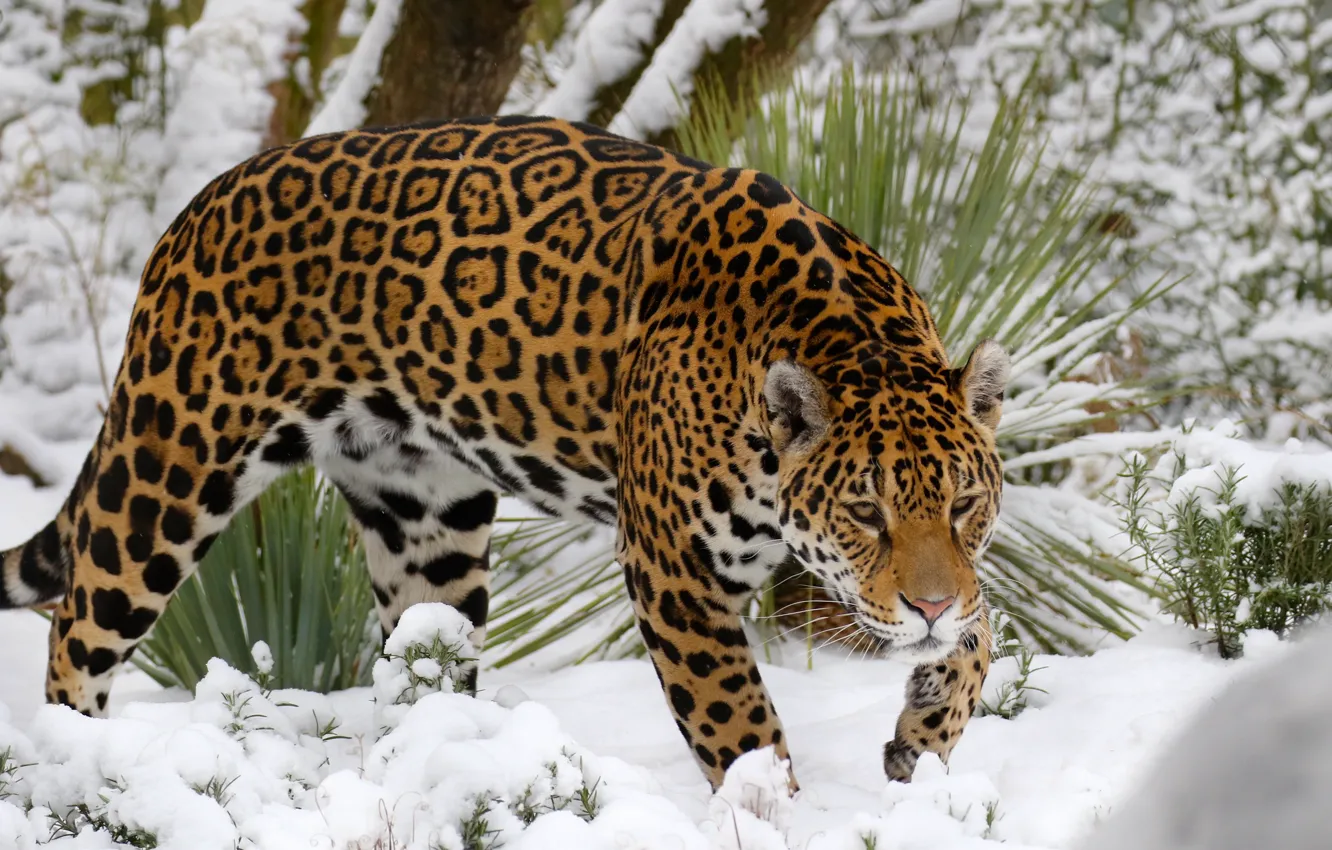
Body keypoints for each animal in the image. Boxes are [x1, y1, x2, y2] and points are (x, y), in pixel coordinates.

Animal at [0, 115, 1010, 791]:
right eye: (865, 512)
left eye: (964, 504)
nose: (925, 607)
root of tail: (195, 208)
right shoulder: (674, 570)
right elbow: (739, 721)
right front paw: (776, 809)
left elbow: (984, 634)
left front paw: (924, 734)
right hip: (168, 472)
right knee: (75, 628)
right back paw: (72, 768)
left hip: (426, 519)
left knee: (420, 658)